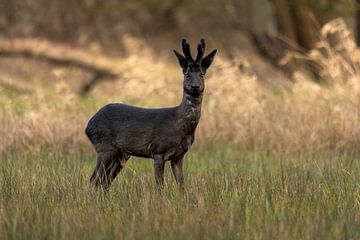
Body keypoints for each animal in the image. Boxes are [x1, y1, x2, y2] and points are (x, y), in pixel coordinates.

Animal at [85, 39, 217, 189]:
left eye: (202, 74)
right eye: (187, 74)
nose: (195, 86)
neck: (180, 125)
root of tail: (89, 125)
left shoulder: (179, 156)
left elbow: (182, 185)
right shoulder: (158, 151)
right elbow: (160, 186)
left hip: (121, 154)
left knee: (104, 182)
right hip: (104, 146)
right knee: (94, 179)